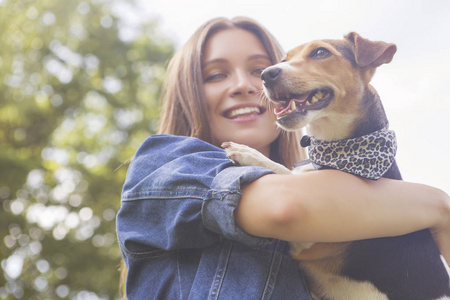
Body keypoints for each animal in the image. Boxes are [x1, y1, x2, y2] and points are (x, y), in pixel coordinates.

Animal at [222, 32, 450, 300]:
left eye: (320, 53)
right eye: (284, 59)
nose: (266, 74)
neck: (334, 152)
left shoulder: (308, 242)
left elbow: (285, 173)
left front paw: (248, 153)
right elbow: (291, 172)